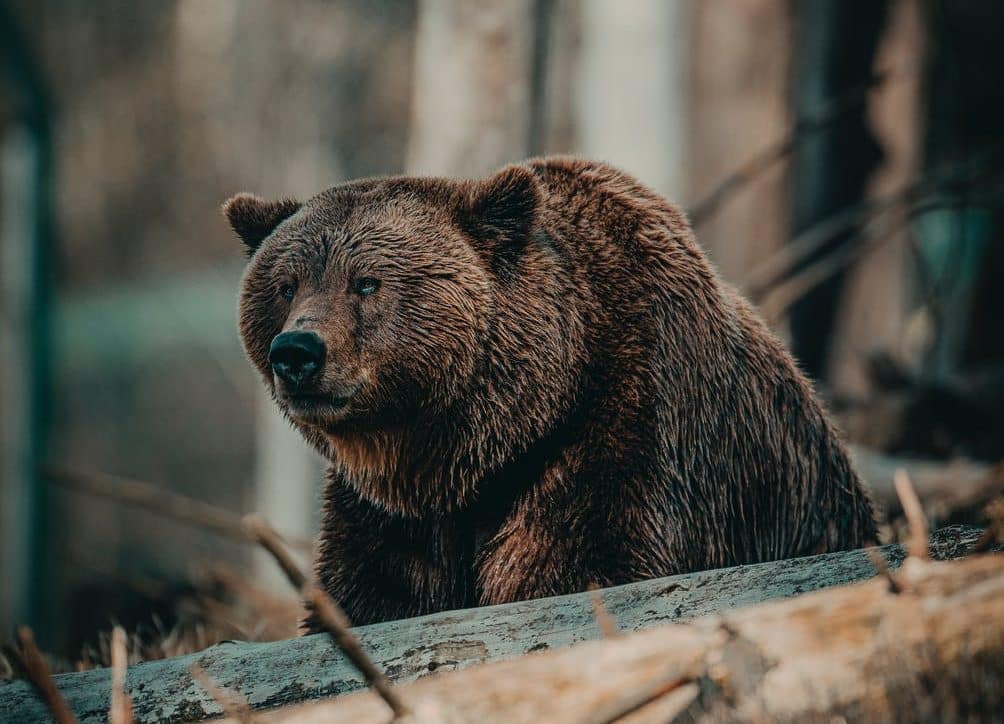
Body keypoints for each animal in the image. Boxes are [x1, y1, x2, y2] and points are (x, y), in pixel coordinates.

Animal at [225, 156, 877, 627]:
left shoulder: (628, 432)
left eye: (366, 282)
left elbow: (579, 564)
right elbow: (369, 594)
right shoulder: (391, 515)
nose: (297, 352)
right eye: (286, 285)